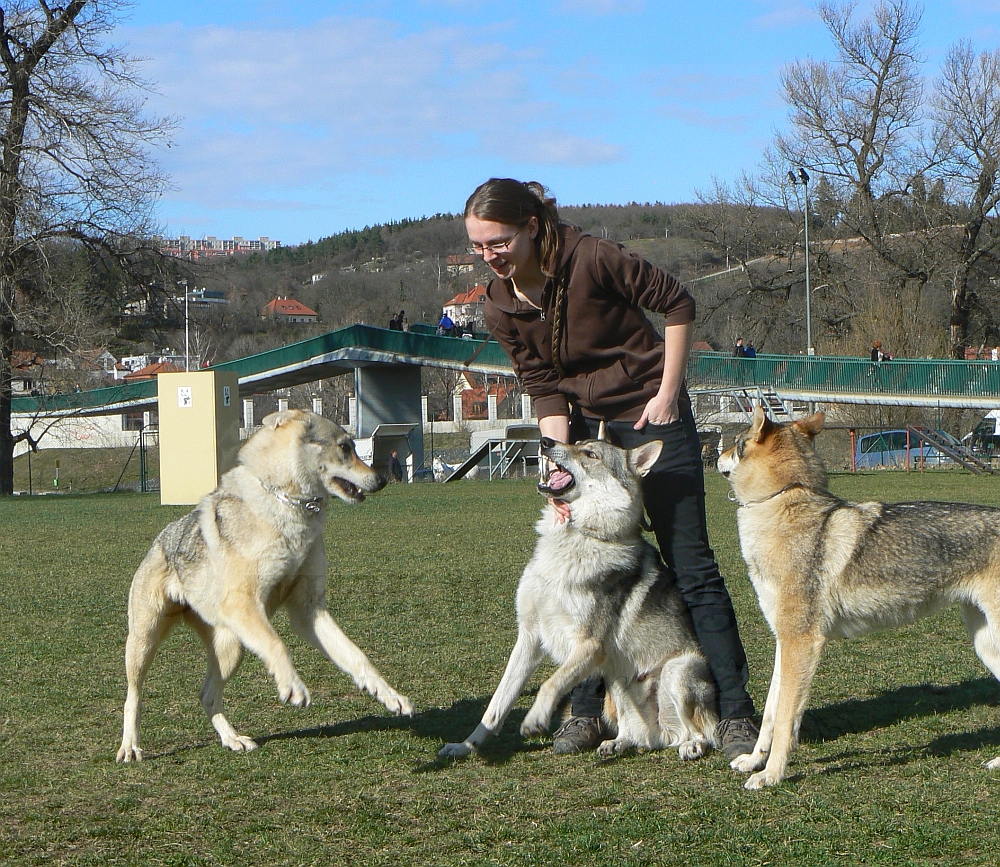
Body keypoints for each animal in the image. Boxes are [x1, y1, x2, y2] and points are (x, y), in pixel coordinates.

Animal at [444, 438, 720, 764]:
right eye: (575, 443)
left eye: (590, 454)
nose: (546, 441)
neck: (576, 535)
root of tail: (666, 734)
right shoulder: (529, 637)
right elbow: (496, 706)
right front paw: (465, 746)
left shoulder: (590, 645)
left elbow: (550, 683)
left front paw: (534, 719)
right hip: (617, 682)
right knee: (643, 737)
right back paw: (617, 744)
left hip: (676, 673)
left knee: (700, 733)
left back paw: (693, 745)